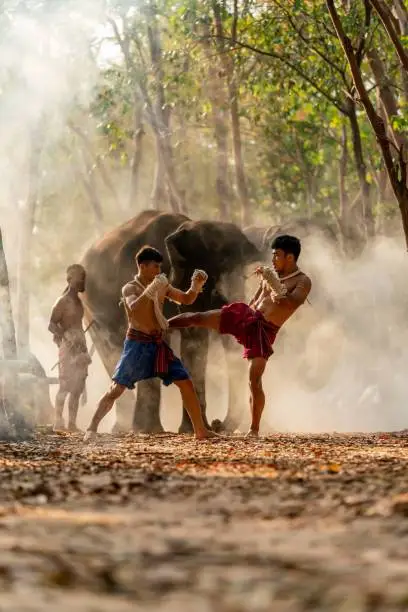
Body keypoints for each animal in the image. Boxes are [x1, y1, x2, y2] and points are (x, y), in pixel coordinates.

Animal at [80, 210, 260, 436]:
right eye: (215, 282)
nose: (218, 423)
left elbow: (193, 337)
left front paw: (193, 429)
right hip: (90, 308)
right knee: (111, 352)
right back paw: (130, 427)